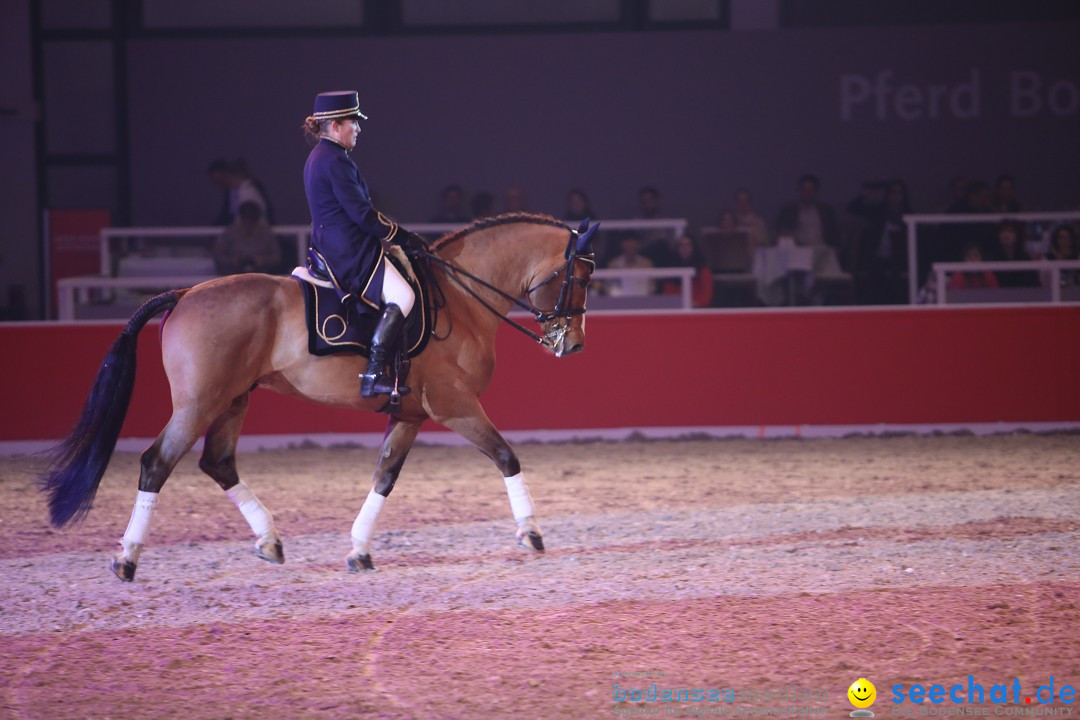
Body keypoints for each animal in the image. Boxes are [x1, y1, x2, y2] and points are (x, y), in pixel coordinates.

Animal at [39, 212, 600, 578]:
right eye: (580, 277)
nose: (572, 345)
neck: (460, 299)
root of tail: (185, 294)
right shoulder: (456, 406)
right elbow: (506, 456)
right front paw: (530, 532)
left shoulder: (412, 414)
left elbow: (385, 475)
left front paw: (359, 550)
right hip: (197, 404)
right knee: (157, 463)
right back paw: (127, 558)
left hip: (233, 400)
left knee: (217, 462)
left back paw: (268, 540)